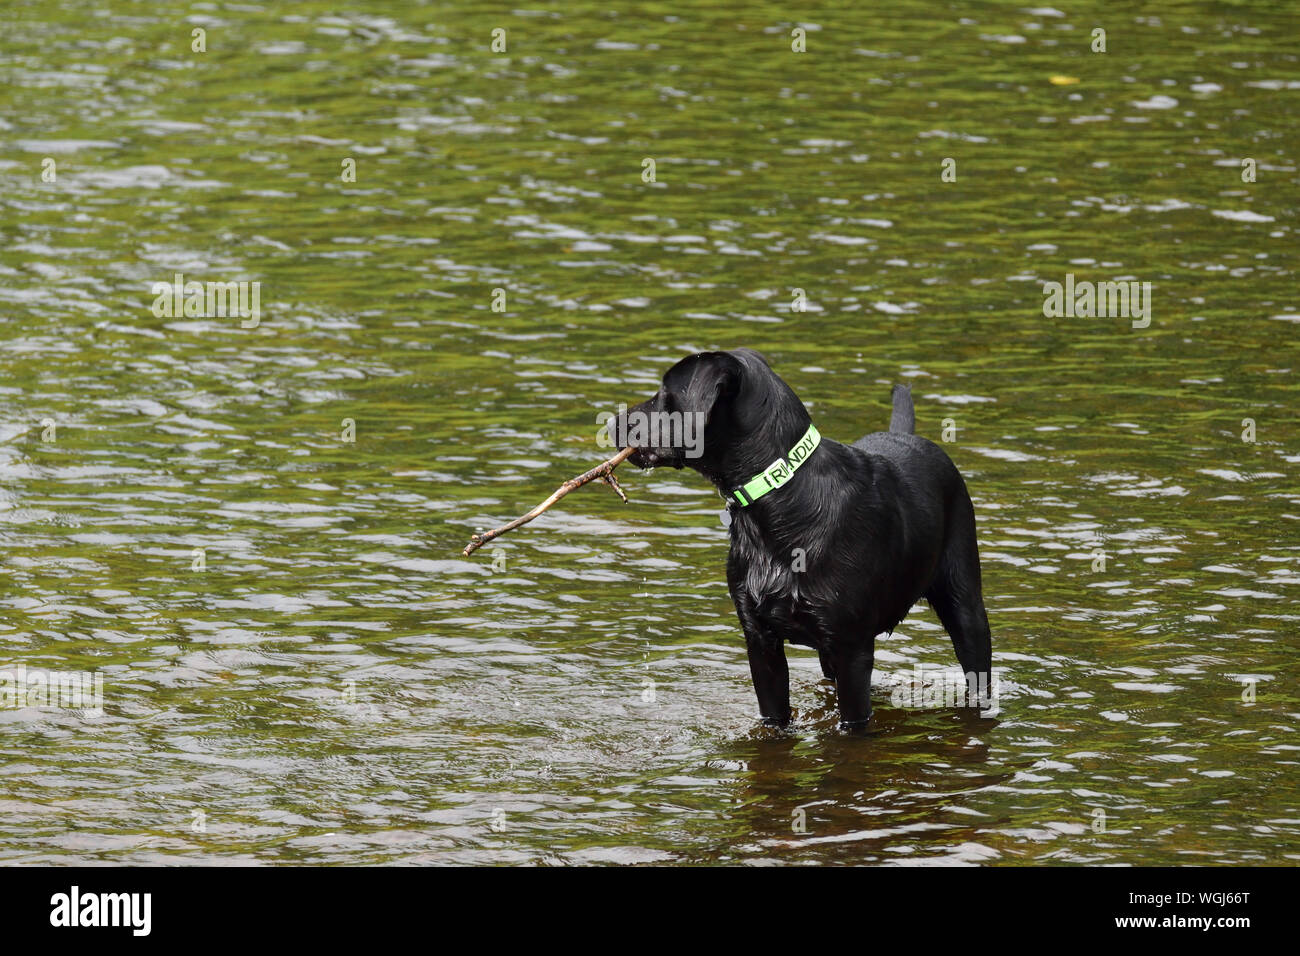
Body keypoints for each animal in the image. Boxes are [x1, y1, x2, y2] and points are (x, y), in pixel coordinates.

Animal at [611, 348, 993, 728]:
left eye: (664, 393)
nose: (611, 423)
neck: (774, 499)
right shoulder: (760, 641)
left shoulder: (852, 648)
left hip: (966, 609)